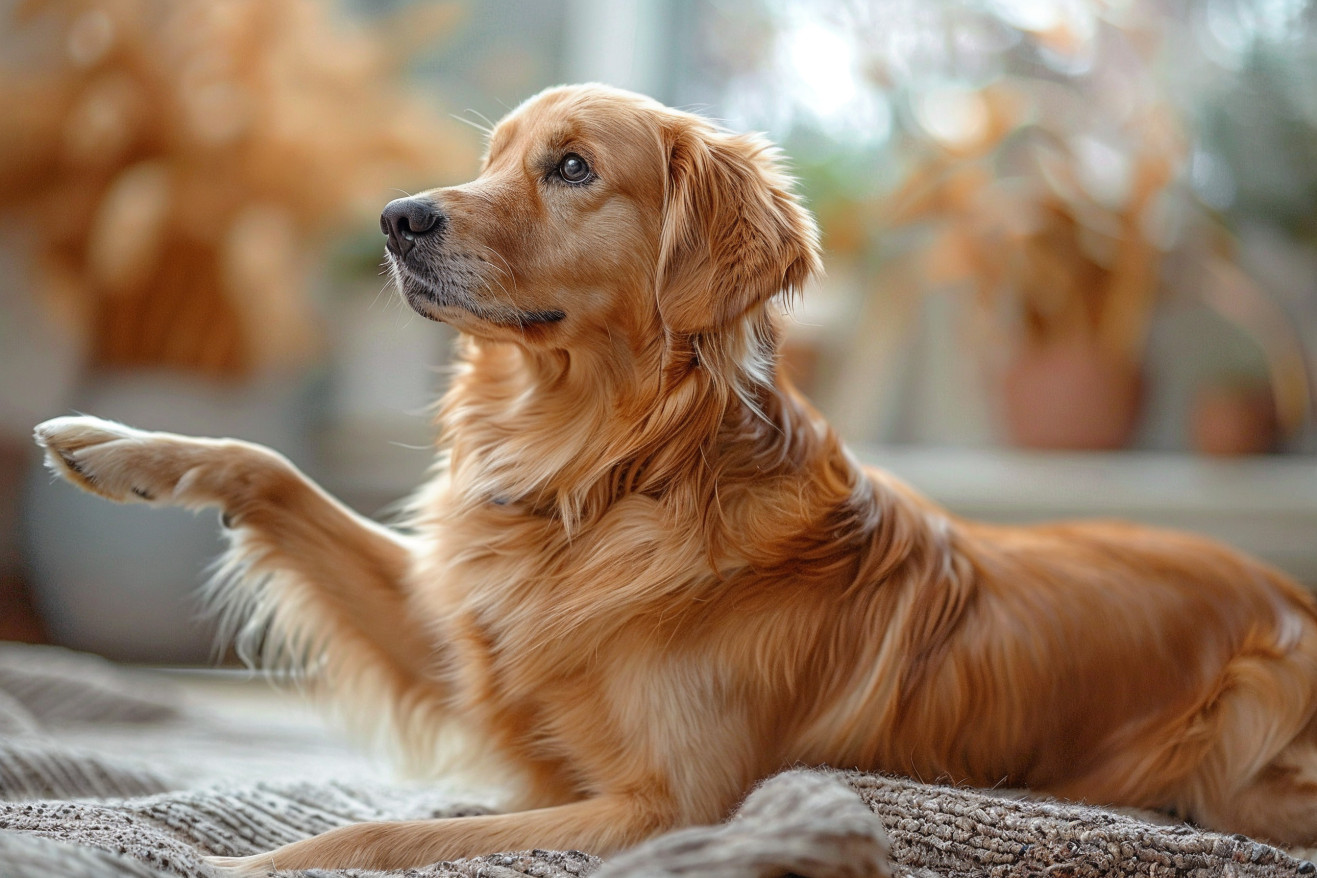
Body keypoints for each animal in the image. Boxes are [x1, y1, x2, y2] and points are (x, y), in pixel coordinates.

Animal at [30, 84, 1317, 874]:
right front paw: (117, 446)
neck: (609, 474)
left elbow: (388, 832)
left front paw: (240, 855)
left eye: (572, 167)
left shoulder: (674, 807)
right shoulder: (473, 650)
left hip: (1243, 765)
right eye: (492, 158)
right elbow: (277, 467)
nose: (396, 219)